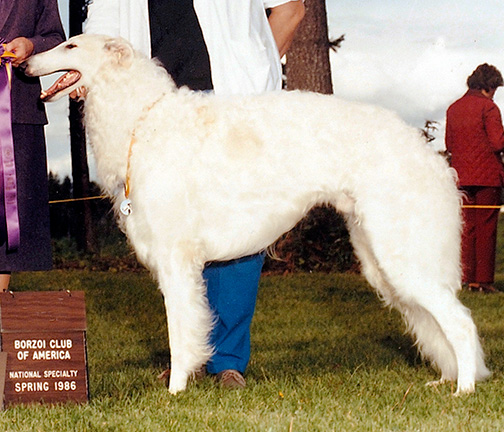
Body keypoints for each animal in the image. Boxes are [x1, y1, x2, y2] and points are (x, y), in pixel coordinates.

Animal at [23, 34, 488, 394]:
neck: (143, 118)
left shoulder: (175, 259)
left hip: (402, 255)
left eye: (70, 44)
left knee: (461, 323)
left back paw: (463, 389)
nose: (24, 64)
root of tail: (432, 160)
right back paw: (447, 380)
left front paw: (175, 389)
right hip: (381, 257)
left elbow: (180, 334)